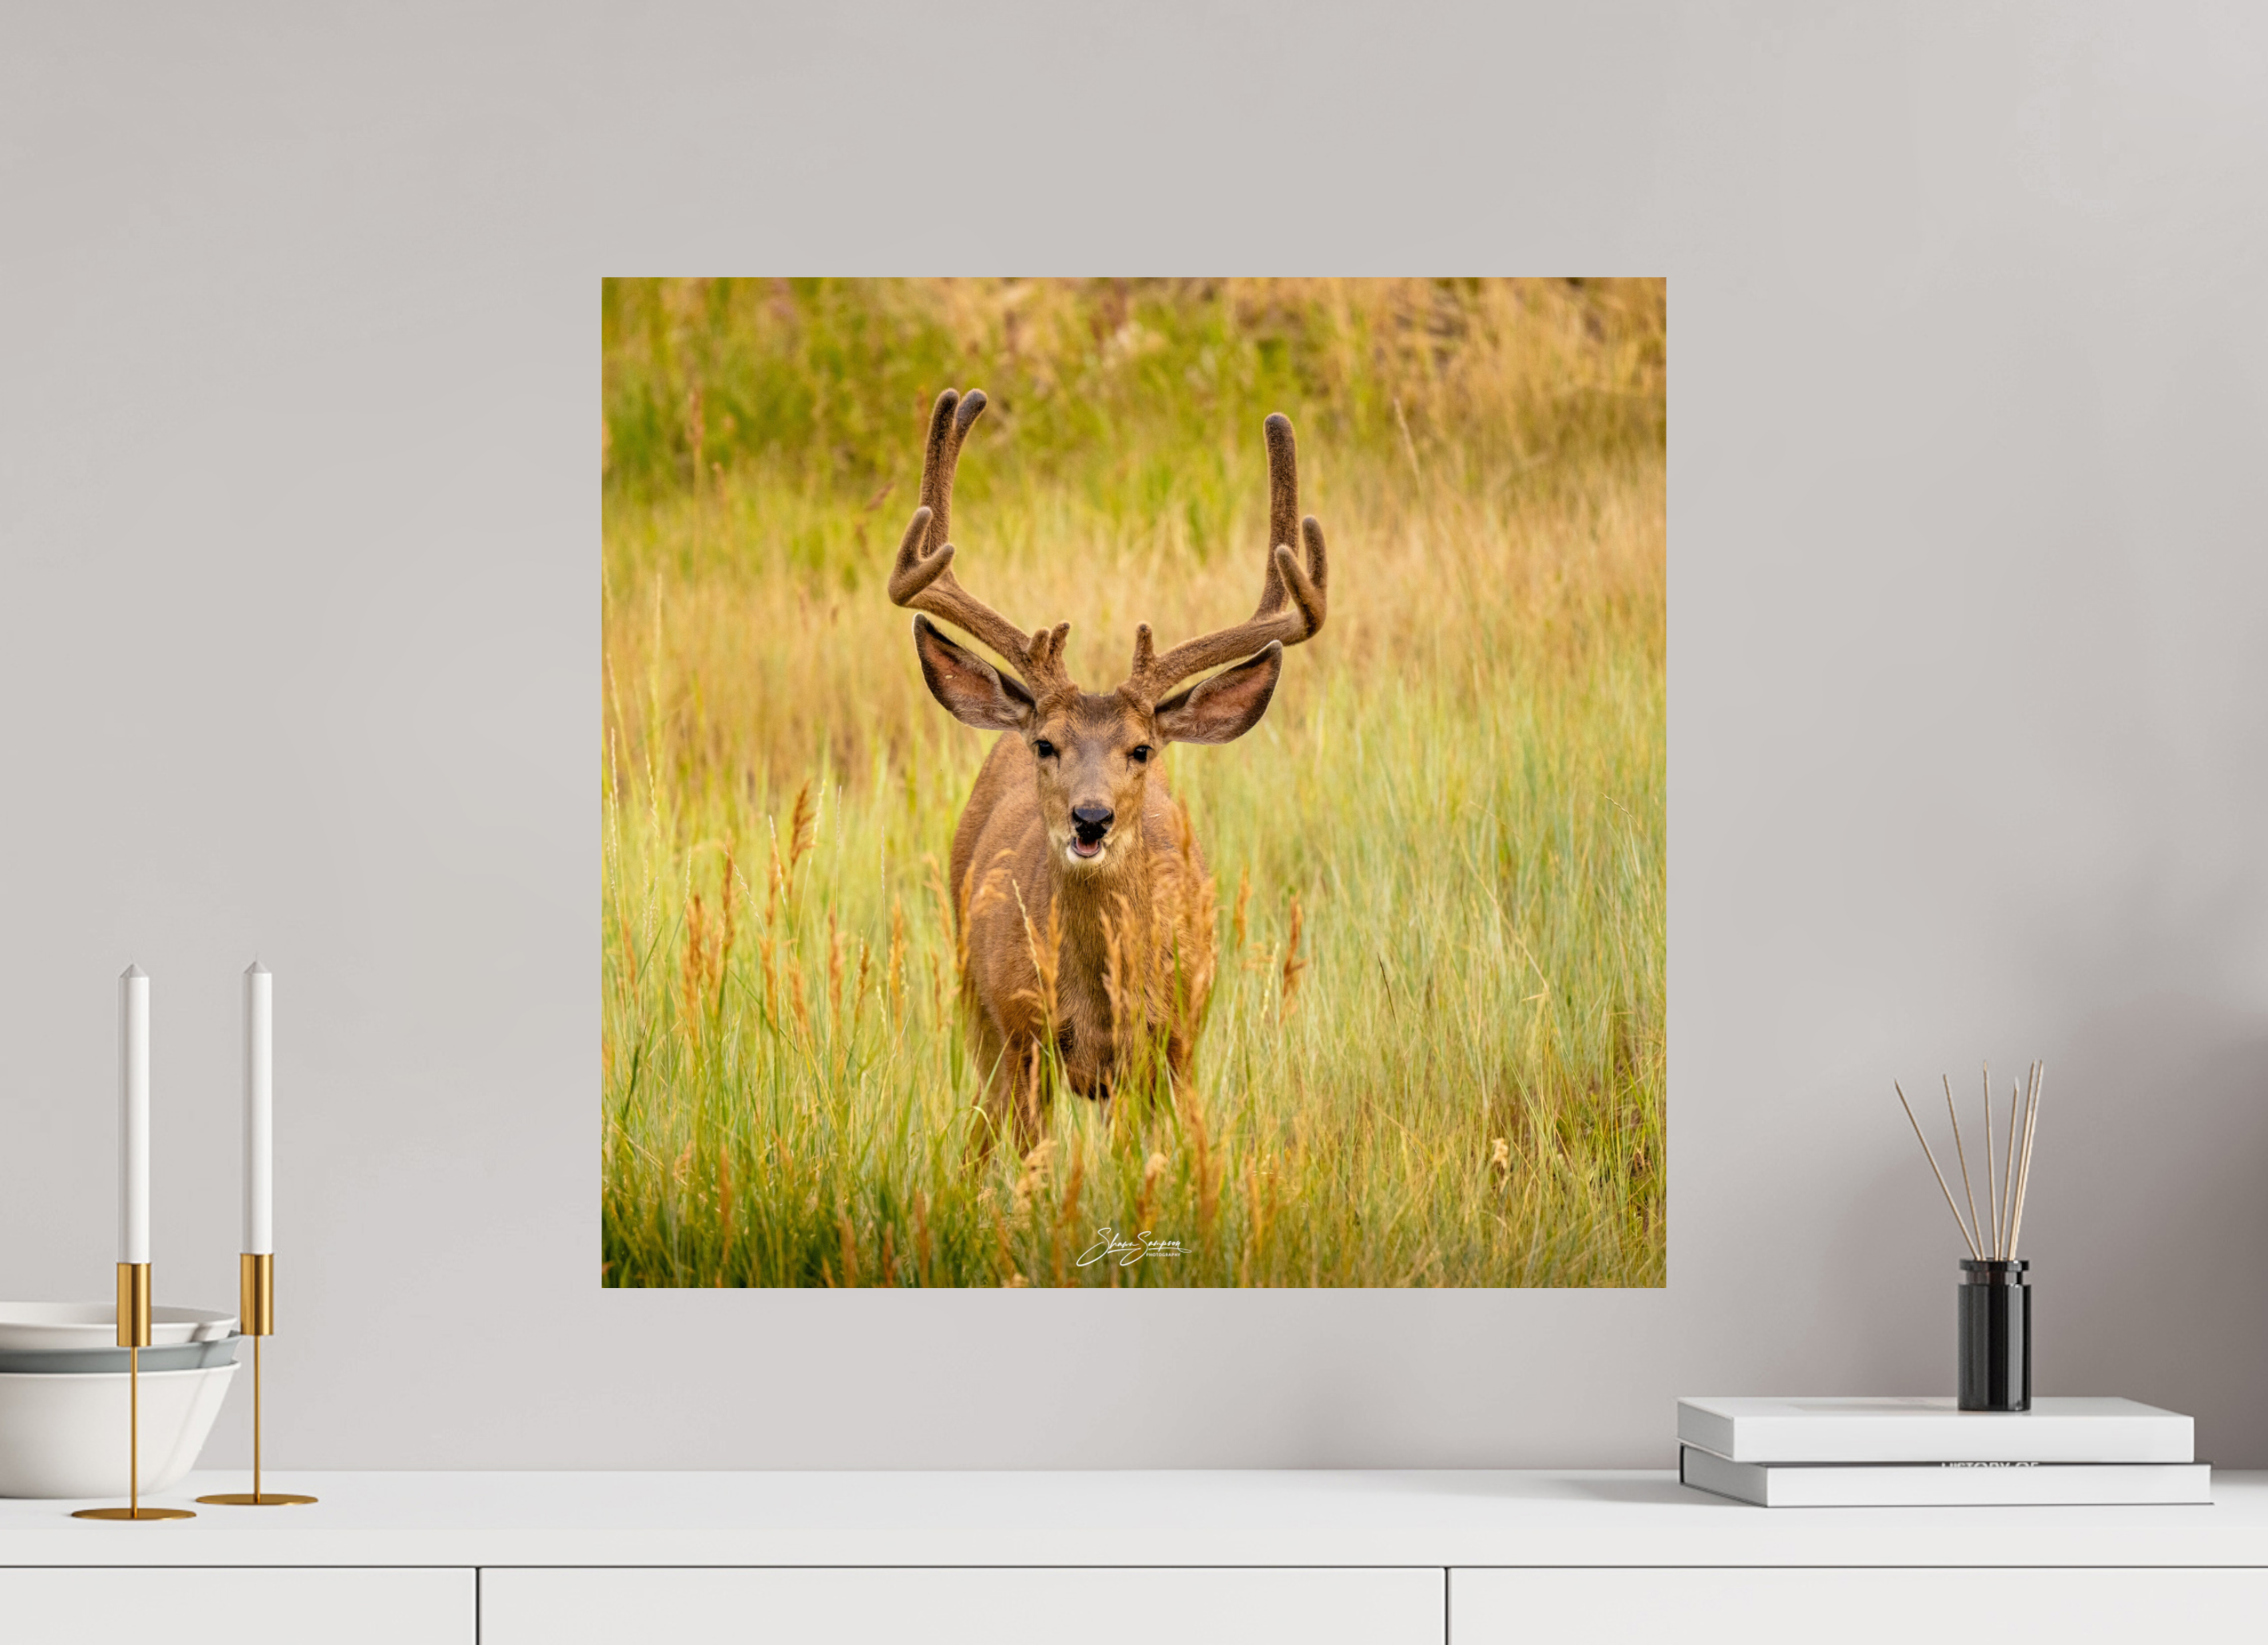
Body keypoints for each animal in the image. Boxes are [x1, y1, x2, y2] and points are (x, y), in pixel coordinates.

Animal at [888, 387, 1329, 1148]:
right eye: (1046, 745)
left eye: (1141, 749)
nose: (1090, 818)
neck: (1097, 1007)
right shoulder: (1021, 1037)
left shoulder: (1175, 1045)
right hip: (973, 1001)